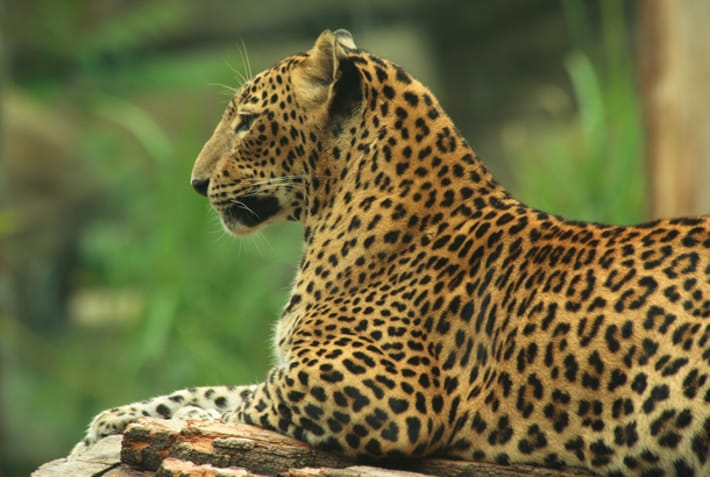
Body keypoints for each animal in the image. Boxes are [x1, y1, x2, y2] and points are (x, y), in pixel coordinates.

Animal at [73, 29, 710, 476]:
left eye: (248, 123)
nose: (196, 184)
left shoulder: (388, 390)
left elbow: (248, 401)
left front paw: (184, 423)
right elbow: (224, 386)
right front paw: (114, 421)